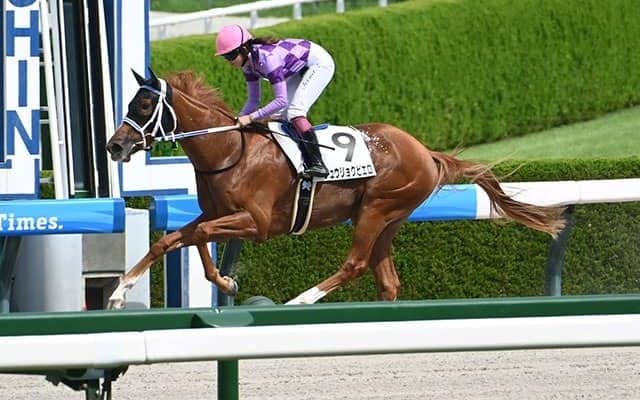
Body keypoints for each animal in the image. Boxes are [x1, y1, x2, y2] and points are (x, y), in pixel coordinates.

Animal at [105, 69, 566, 308]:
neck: (230, 150)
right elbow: (172, 241)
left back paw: (301, 300)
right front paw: (119, 291)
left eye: (143, 105)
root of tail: (426, 152)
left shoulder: (256, 223)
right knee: (386, 279)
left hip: (377, 209)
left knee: (356, 264)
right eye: (130, 103)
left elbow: (198, 236)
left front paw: (227, 282)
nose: (115, 145)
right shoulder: (217, 212)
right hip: (389, 218)